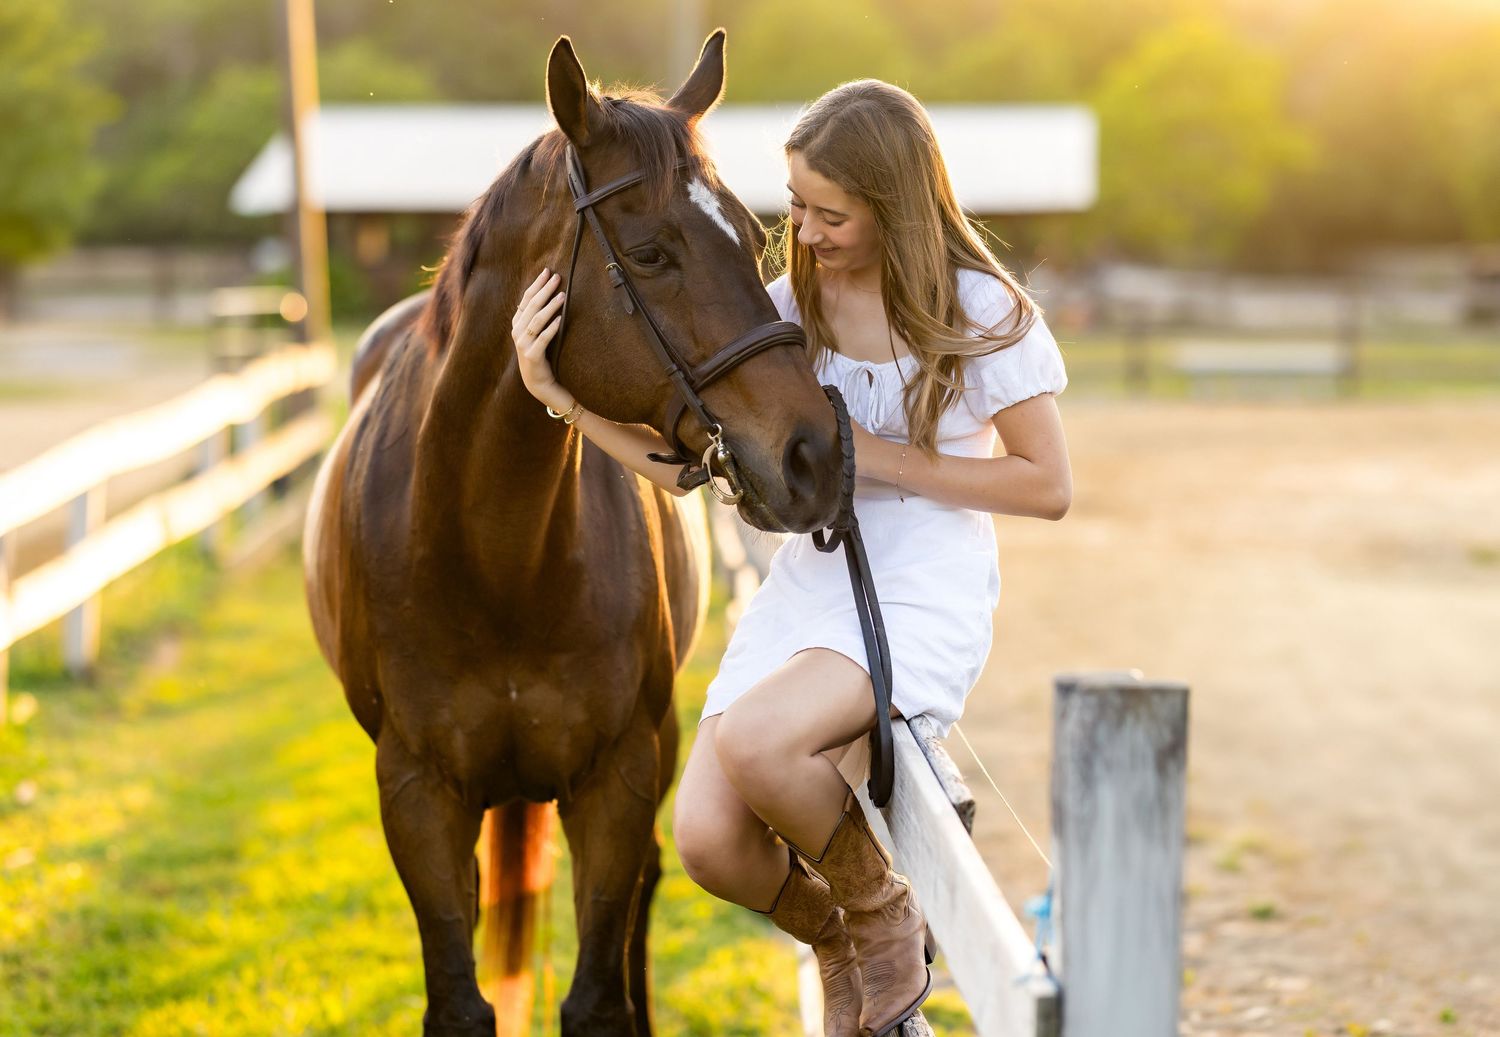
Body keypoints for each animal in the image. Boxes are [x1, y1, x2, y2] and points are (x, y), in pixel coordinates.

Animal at [303, 30, 842, 1037]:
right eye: (651, 251)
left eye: (752, 237)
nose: (814, 453)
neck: (495, 555)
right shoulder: (415, 792)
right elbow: (460, 997)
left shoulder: (618, 778)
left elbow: (595, 995)